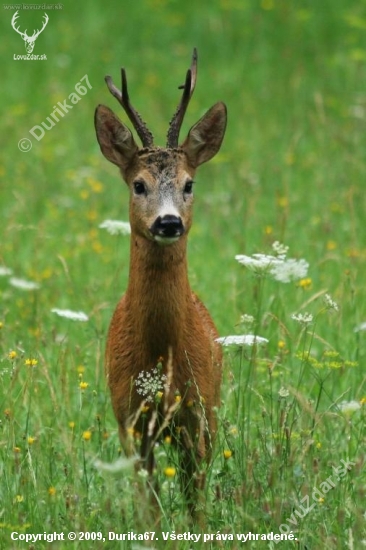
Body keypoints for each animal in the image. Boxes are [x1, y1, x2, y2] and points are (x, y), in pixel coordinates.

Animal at [94, 49, 226, 516]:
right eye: (138, 184)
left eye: (189, 183)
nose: (168, 222)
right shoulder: (130, 421)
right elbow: (149, 509)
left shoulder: (198, 415)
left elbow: (197, 506)